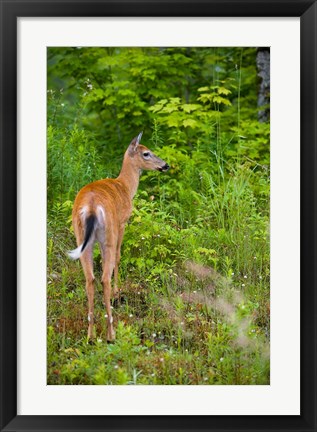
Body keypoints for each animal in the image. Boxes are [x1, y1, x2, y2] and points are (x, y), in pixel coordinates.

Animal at [67, 133, 169, 342]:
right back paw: (110, 333)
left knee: (90, 279)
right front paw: (118, 290)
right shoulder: (122, 222)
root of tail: (91, 207)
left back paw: (90, 335)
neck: (125, 186)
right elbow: (119, 256)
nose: (165, 165)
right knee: (104, 277)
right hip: (109, 232)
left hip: (81, 237)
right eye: (146, 153)